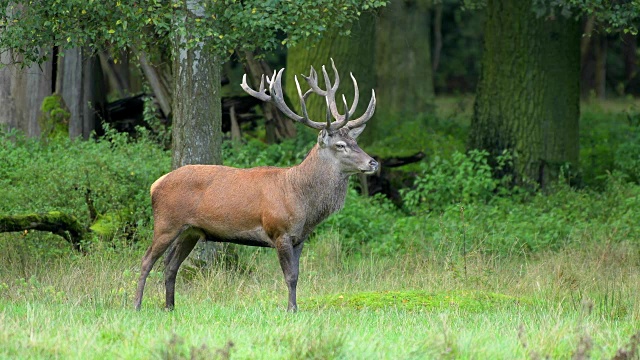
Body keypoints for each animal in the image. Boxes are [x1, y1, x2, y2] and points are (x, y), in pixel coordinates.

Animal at [133, 59, 378, 312]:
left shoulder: (300, 238)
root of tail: (155, 184)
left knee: (170, 265)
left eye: (355, 141)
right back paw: (137, 305)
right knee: (146, 260)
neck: (303, 202)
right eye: (340, 145)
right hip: (166, 223)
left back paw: (170, 307)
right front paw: (291, 310)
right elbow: (290, 276)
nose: (373, 162)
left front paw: (295, 308)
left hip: (189, 231)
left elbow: (297, 275)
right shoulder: (279, 230)